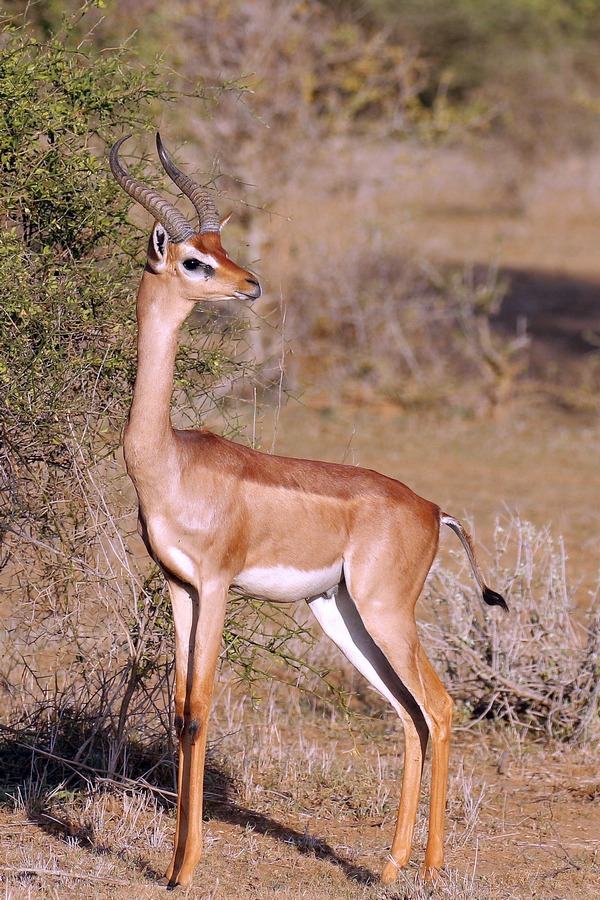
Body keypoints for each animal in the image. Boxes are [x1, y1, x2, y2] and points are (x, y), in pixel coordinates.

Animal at [109, 134, 506, 884]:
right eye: (196, 257)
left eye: (218, 248)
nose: (250, 284)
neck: (168, 459)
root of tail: (432, 508)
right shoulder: (178, 586)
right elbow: (178, 711)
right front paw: (172, 866)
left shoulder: (216, 584)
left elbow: (201, 709)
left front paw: (186, 869)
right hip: (341, 614)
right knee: (408, 714)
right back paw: (389, 868)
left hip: (384, 611)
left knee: (439, 708)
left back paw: (431, 871)